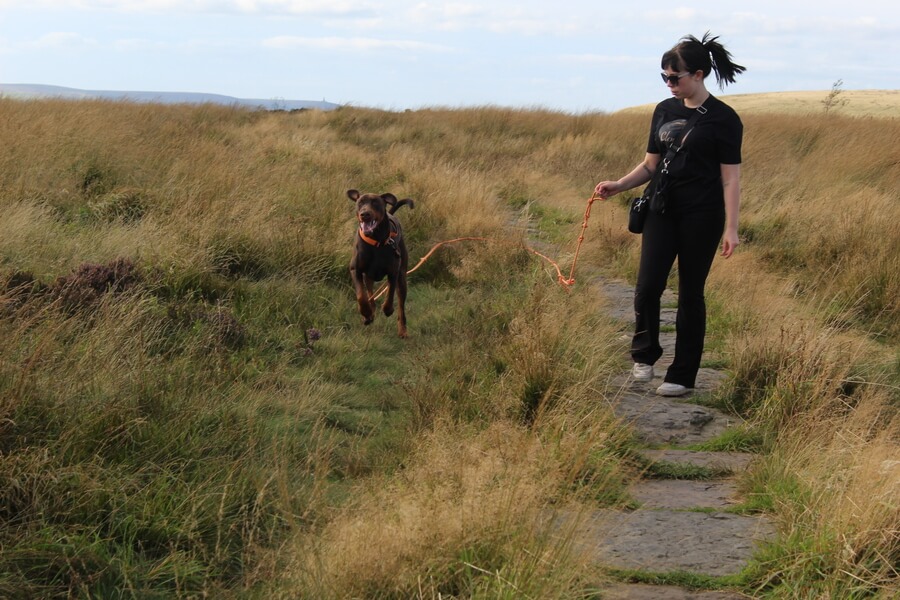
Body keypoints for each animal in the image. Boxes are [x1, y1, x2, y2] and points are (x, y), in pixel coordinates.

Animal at [348, 188, 414, 338]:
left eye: (375, 203)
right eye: (360, 203)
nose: (365, 214)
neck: (375, 241)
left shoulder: (394, 271)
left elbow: (390, 292)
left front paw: (387, 309)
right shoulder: (356, 270)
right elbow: (361, 296)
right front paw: (366, 313)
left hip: (402, 277)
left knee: (401, 306)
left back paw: (403, 330)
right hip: (369, 277)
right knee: (370, 293)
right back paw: (370, 313)